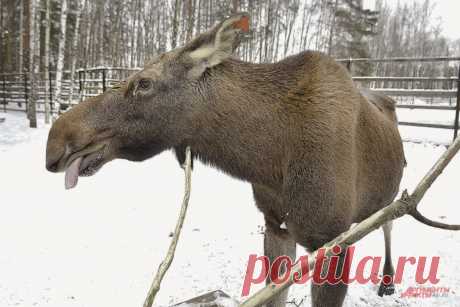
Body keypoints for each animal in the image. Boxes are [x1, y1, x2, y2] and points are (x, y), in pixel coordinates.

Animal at [46, 13, 404, 307]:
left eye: (144, 83)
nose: (55, 142)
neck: (268, 161)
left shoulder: (331, 239)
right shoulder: (276, 225)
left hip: (390, 194)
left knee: (389, 223)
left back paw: (387, 281)